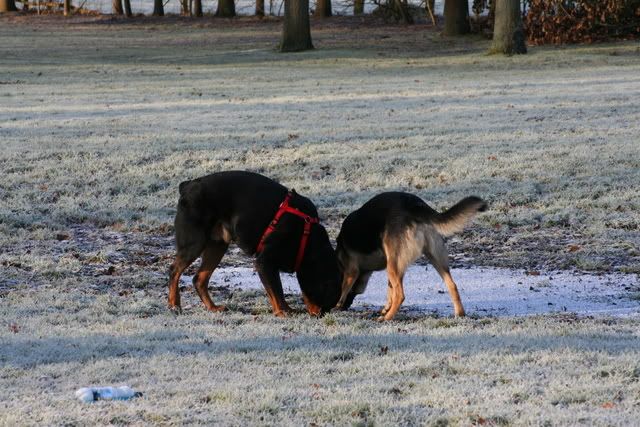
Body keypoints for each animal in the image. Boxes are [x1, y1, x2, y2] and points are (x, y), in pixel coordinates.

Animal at [168, 171, 342, 318]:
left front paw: (287, 310)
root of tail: (187, 186)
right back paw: (174, 304)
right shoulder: (264, 262)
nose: (320, 315)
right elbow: (277, 291)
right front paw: (283, 312)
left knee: (199, 278)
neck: (306, 238)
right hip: (194, 243)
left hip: (218, 245)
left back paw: (213, 307)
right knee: (174, 270)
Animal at [336, 194, 484, 320]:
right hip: (433, 258)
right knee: (452, 285)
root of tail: (416, 206)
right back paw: (460, 313)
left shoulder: (351, 270)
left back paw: (387, 318)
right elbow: (390, 289)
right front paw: (386, 307)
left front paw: (337, 305)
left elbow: (344, 288)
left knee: (400, 295)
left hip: (393, 265)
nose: (345, 308)